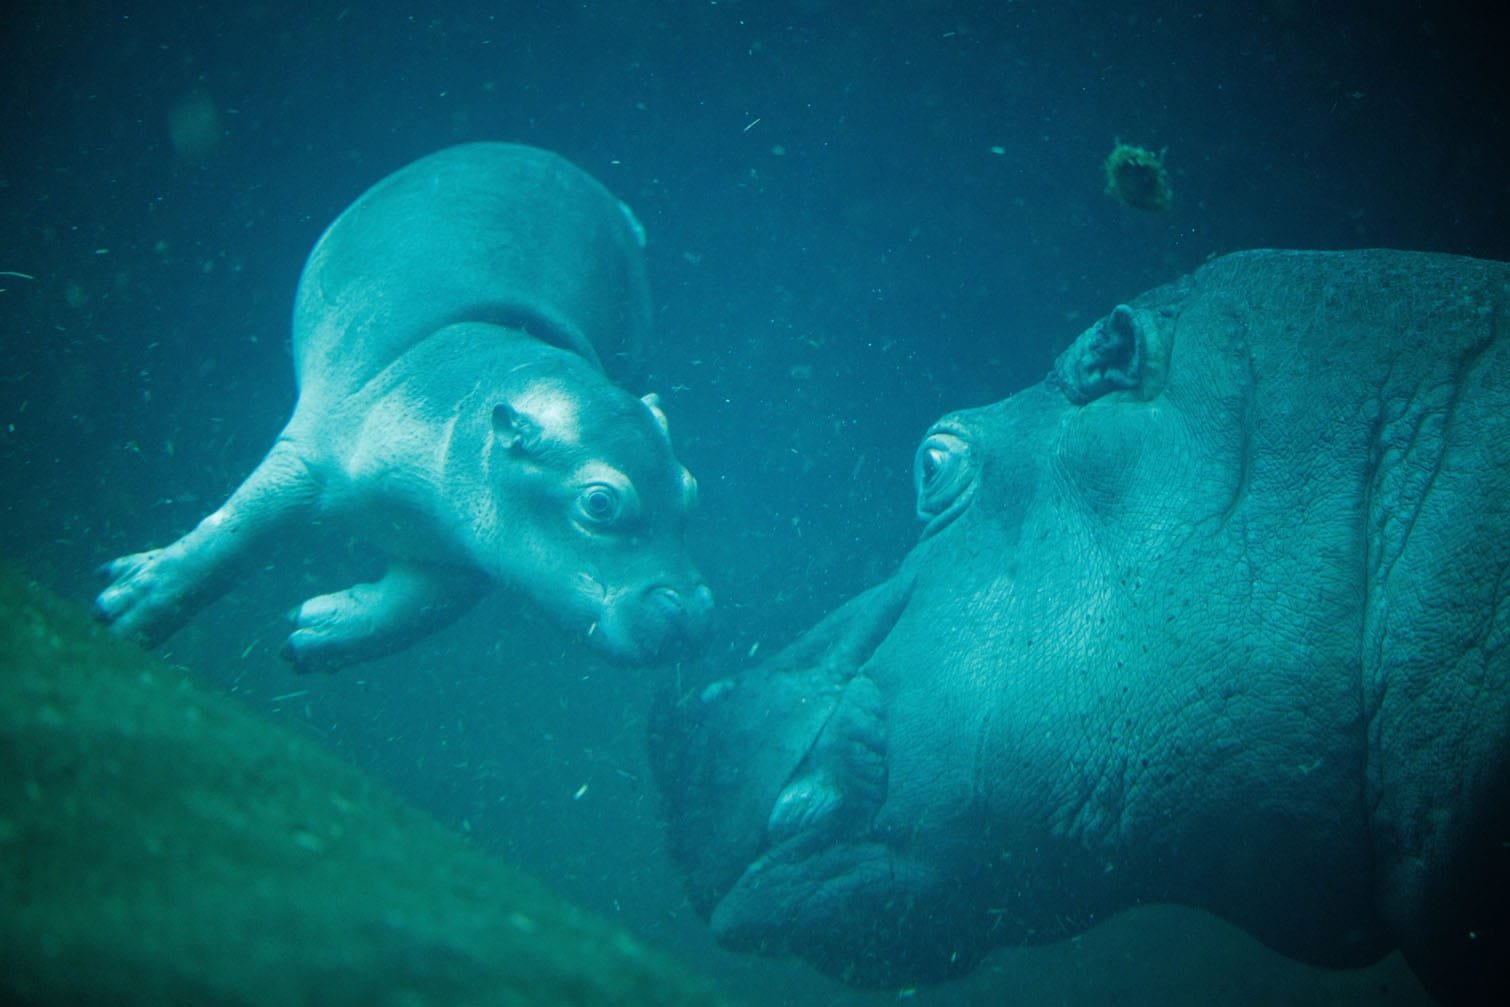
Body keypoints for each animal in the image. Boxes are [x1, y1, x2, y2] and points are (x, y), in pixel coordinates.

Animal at [96, 143, 711, 670]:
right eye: (600, 503)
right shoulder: (308, 454)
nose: (693, 616)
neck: (480, 381)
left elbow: (418, 611)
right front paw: (124, 610)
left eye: (691, 489)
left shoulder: (461, 551)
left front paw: (313, 633)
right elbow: (236, 533)